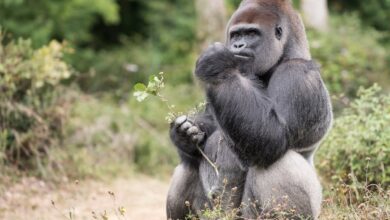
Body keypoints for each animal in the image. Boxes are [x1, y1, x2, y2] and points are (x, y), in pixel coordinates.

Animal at [167, 0, 332, 219]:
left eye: (252, 33)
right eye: (236, 35)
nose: (238, 45)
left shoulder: (298, 76)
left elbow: (274, 137)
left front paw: (217, 64)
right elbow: (211, 122)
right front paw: (184, 136)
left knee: (276, 163)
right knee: (187, 166)